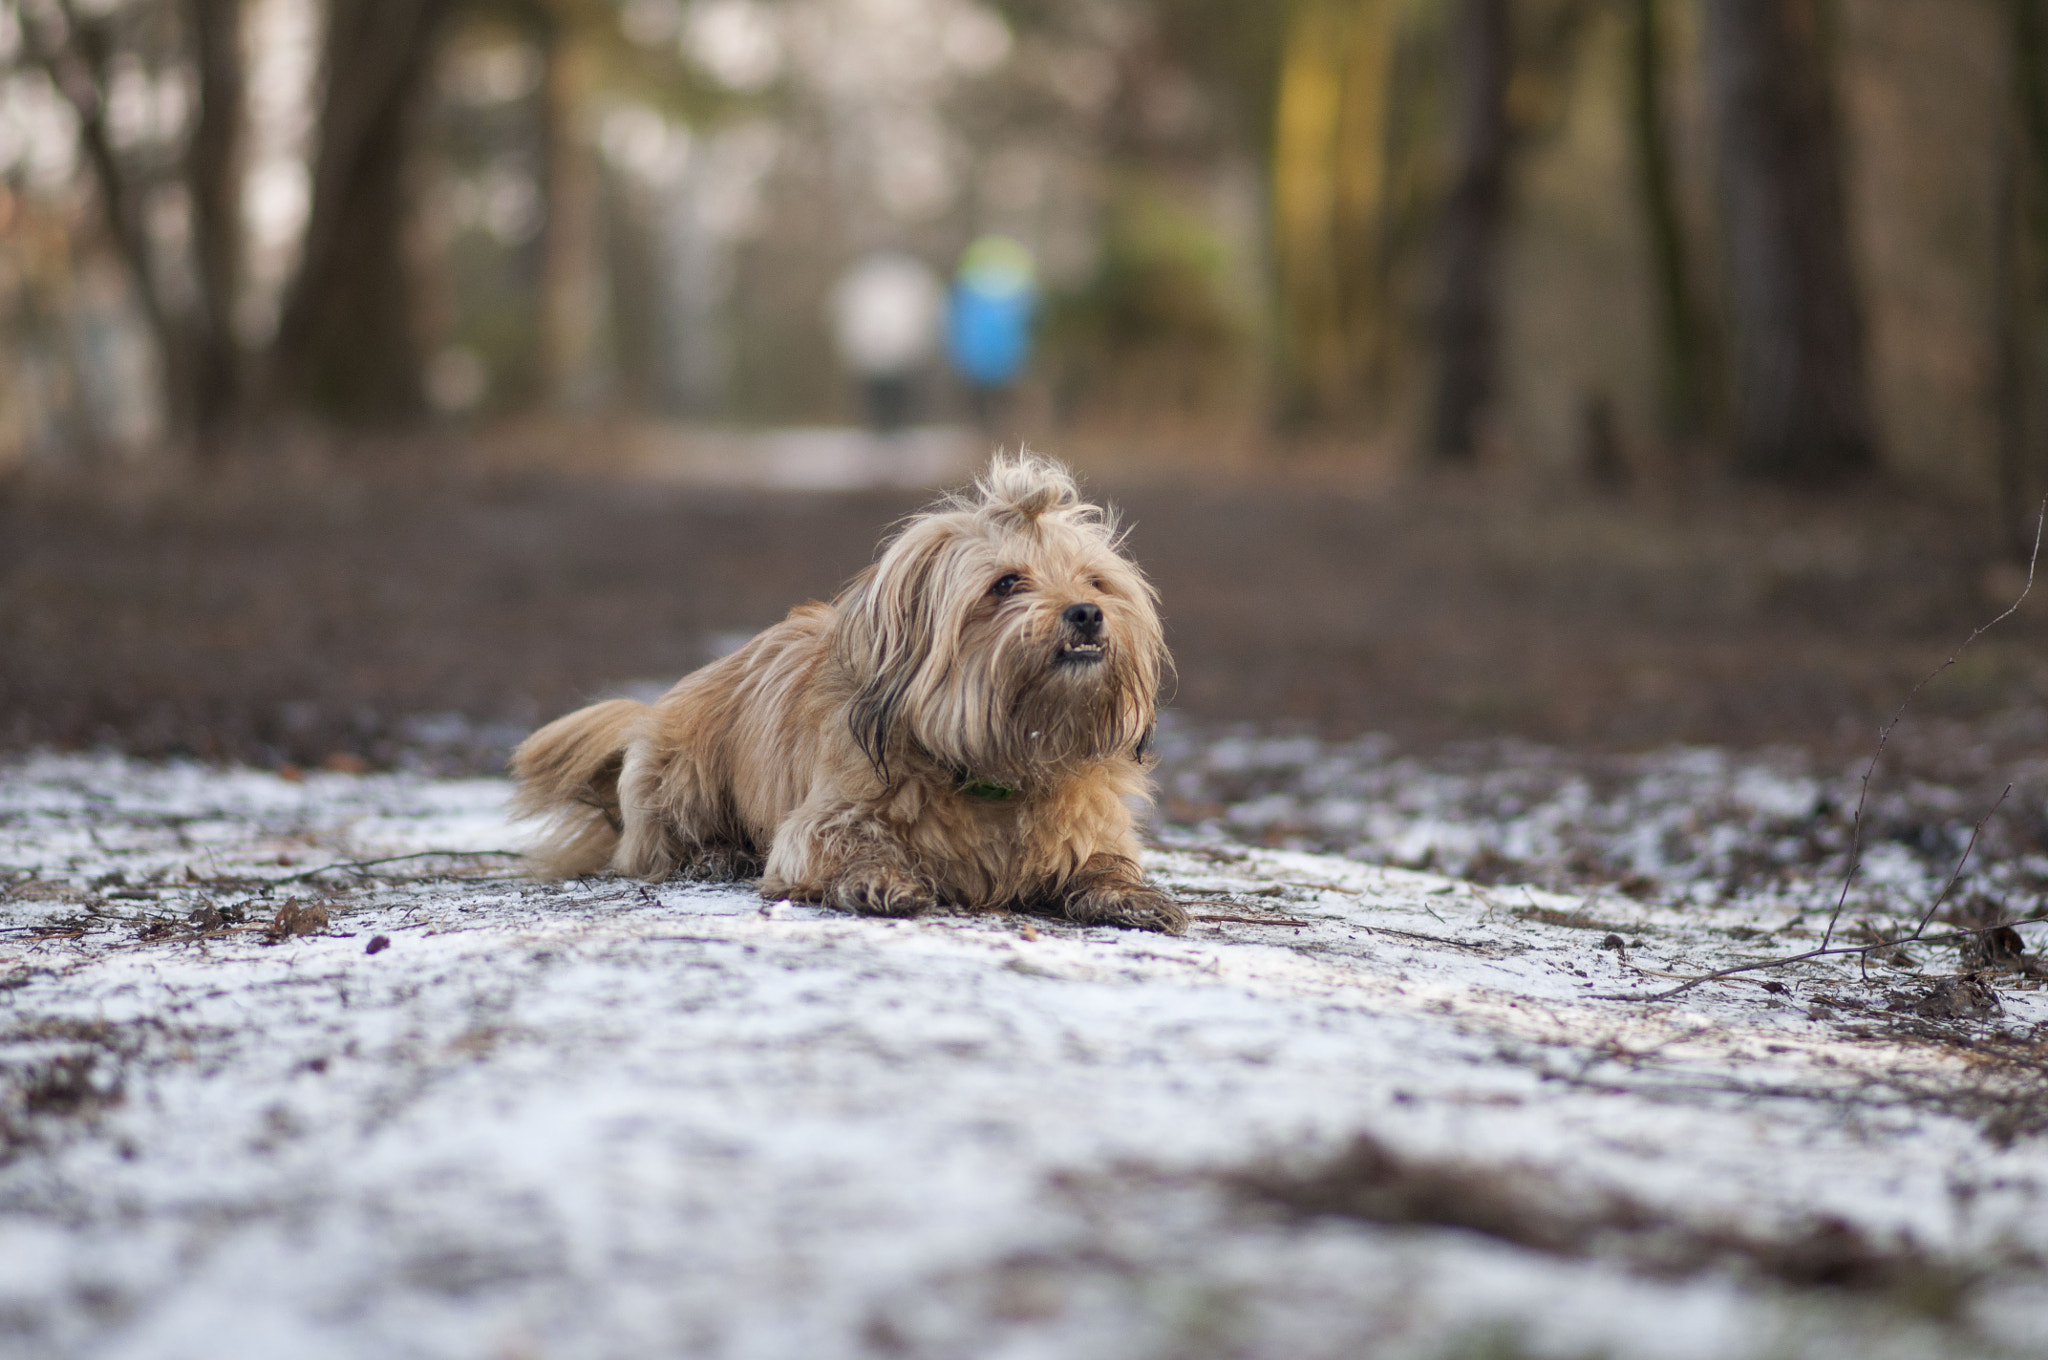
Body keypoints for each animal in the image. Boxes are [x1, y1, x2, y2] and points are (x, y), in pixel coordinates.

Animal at [507, 456, 1187, 933]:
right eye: (1006, 584)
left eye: (1095, 582)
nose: (1087, 615)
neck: (998, 769)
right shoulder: (819, 824)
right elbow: (848, 844)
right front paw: (880, 879)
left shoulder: (1091, 829)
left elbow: (1105, 861)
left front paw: (1135, 897)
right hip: (678, 775)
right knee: (656, 846)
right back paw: (715, 856)